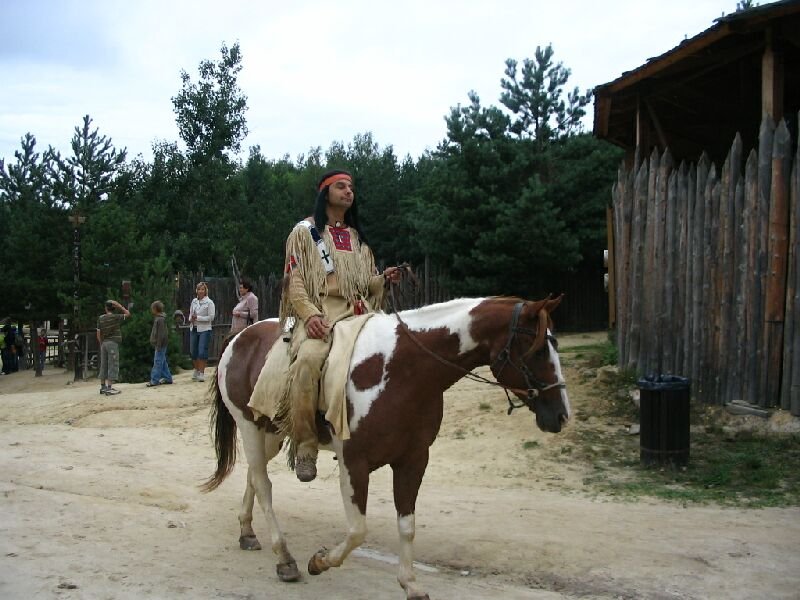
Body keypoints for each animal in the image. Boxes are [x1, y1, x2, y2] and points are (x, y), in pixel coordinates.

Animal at [203, 295, 569, 599]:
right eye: (538, 350)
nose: (561, 415)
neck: (403, 368)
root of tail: (240, 337)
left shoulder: (413, 460)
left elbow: (406, 526)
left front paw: (410, 584)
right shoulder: (354, 463)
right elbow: (357, 531)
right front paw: (319, 561)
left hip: (272, 433)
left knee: (254, 475)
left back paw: (247, 532)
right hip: (249, 426)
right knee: (264, 485)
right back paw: (284, 558)